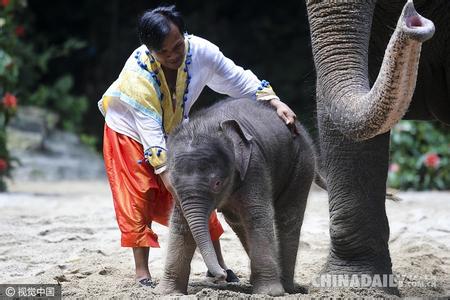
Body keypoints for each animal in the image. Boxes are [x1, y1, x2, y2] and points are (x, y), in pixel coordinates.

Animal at [156, 98, 314, 296]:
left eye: (217, 183)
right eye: (172, 184)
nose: (222, 275)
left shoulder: (254, 165)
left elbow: (257, 216)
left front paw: (269, 293)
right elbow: (180, 224)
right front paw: (168, 293)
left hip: (301, 164)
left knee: (288, 217)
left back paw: (287, 287)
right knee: (238, 221)